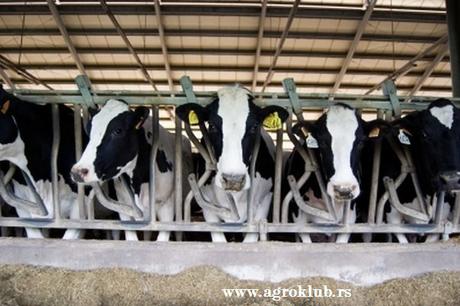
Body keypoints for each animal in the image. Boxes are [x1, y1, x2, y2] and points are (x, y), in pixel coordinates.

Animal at [70, 99, 192, 240]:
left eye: (118, 130)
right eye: (89, 129)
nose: (77, 172)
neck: (140, 181)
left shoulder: (167, 208)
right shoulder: (125, 209)